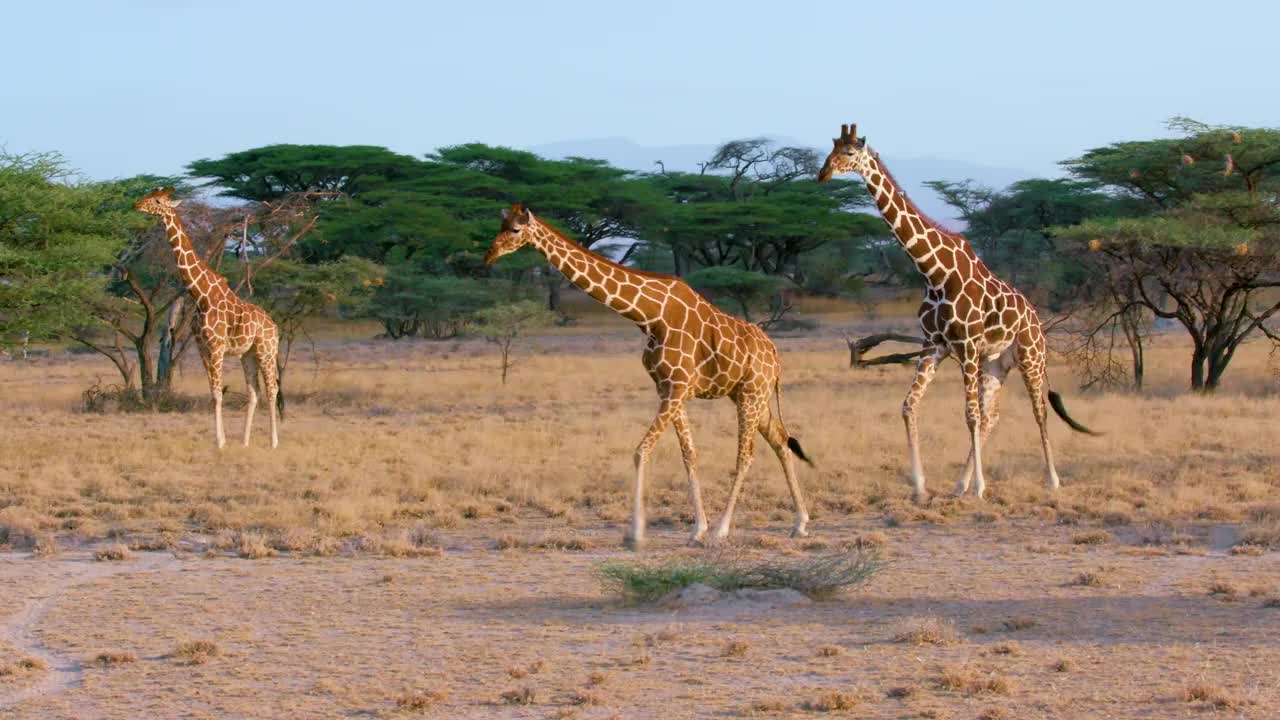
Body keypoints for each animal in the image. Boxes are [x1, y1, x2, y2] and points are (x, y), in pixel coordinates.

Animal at [135, 190, 282, 448]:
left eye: (158, 201)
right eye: (149, 195)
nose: (137, 204)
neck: (201, 294)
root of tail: (274, 327)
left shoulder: (216, 347)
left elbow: (217, 393)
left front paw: (220, 442)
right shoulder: (203, 347)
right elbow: (213, 393)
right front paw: (222, 440)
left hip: (266, 350)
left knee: (272, 388)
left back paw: (274, 442)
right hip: (248, 354)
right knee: (254, 390)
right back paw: (244, 441)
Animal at [481, 198, 808, 545]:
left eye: (515, 230)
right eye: (500, 226)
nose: (489, 255)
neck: (649, 316)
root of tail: (774, 353)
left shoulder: (676, 388)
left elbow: (641, 451)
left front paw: (636, 532)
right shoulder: (669, 389)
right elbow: (689, 454)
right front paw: (697, 529)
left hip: (751, 393)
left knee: (746, 455)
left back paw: (724, 529)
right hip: (748, 394)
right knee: (781, 440)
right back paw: (800, 523)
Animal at [814, 121, 1095, 499]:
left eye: (849, 152)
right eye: (830, 149)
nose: (822, 174)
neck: (934, 273)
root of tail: (1036, 317)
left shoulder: (967, 346)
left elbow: (969, 416)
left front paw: (980, 487)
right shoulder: (935, 345)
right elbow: (909, 406)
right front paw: (920, 486)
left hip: (1030, 356)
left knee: (1038, 412)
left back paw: (1050, 480)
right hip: (996, 363)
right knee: (993, 416)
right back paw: (960, 484)